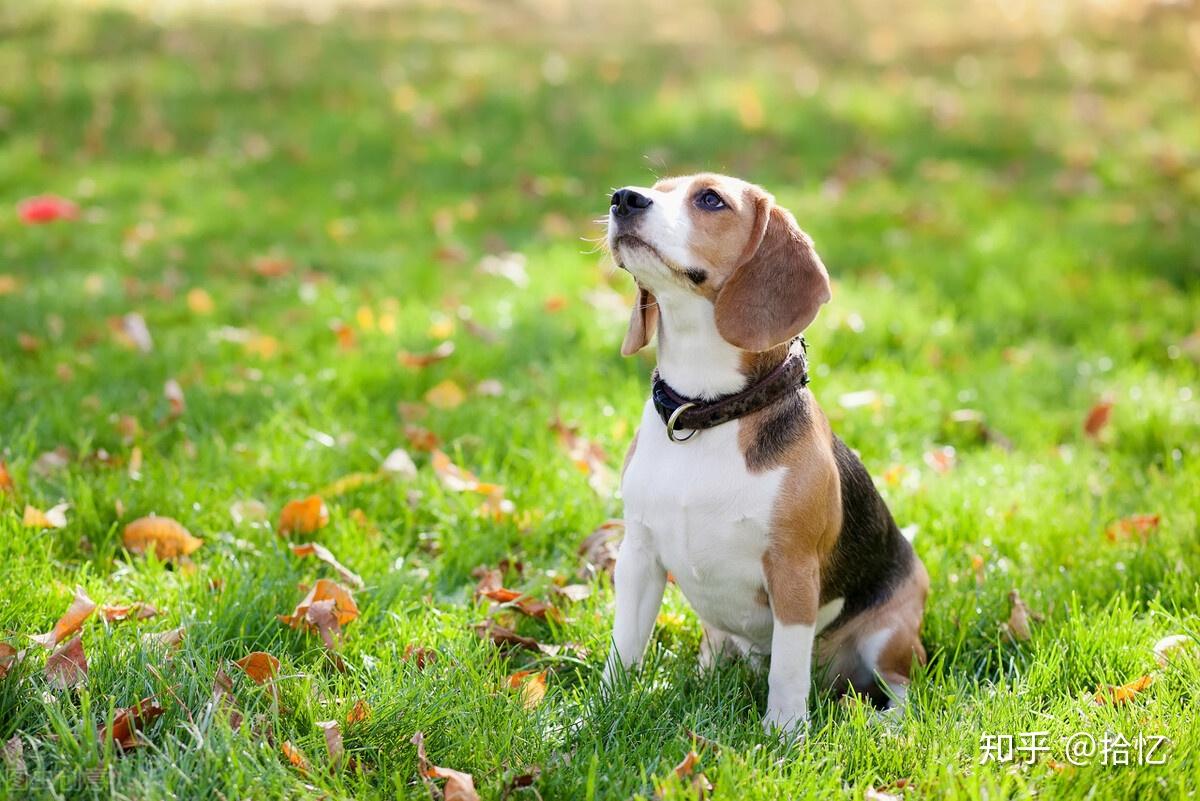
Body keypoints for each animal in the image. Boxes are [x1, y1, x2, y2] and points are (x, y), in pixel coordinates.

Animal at [600, 173, 926, 733]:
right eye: (657, 188)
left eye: (710, 199)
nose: (624, 198)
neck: (705, 411)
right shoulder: (638, 555)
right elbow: (623, 649)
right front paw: (595, 715)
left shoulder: (792, 571)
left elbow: (788, 672)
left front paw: (785, 737)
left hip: (892, 633)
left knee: (899, 686)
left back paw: (886, 725)